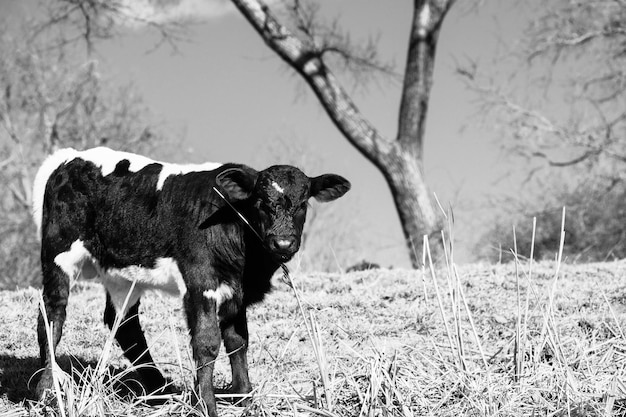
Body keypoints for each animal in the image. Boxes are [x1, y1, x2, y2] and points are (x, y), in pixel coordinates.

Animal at [33, 145, 352, 412]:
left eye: (303, 203)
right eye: (260, 203)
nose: (282, 242)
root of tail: (67, 157)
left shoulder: (237, 292)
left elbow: (238, 340)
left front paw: (245, 397)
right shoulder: (201, 282)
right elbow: (207, 343)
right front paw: (206, 405)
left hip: (122, 274)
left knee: (123, 324)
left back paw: (159, 388)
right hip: (58, 252)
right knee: (52, 313)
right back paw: (48, 389)